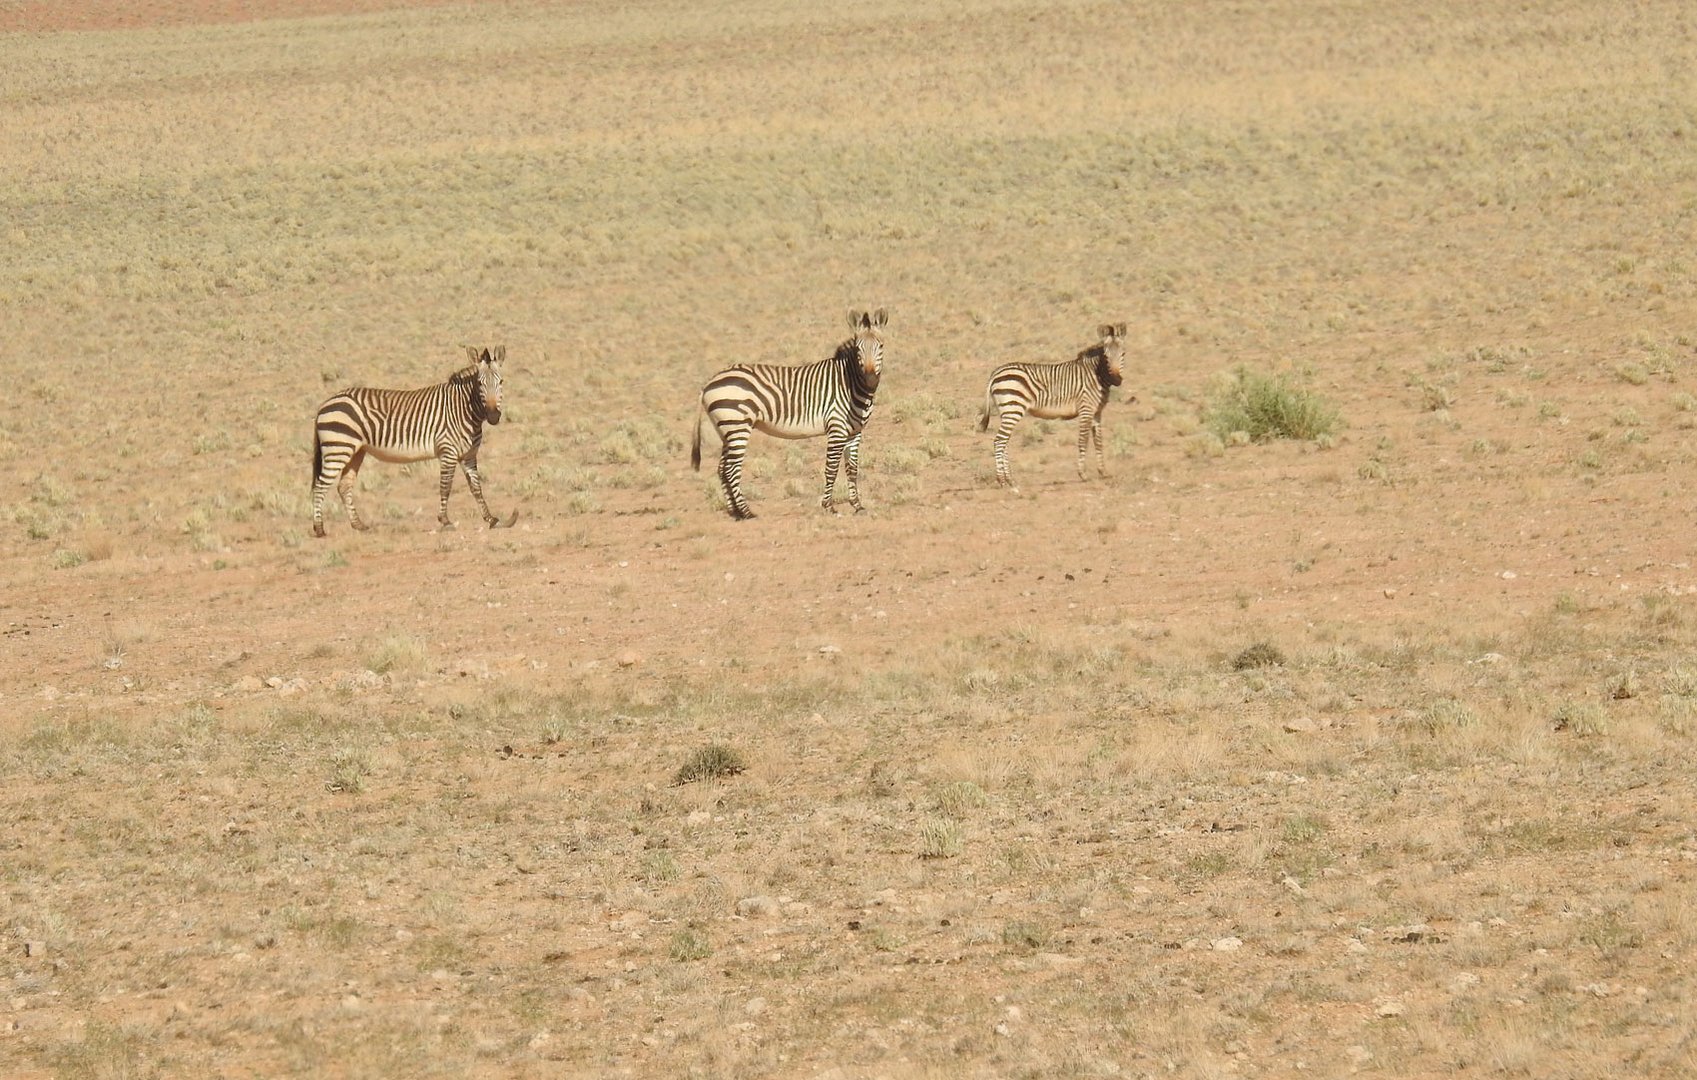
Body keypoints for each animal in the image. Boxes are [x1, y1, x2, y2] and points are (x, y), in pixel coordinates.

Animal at [308, 348, 512, 536]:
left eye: (501, 382)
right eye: (479, 383)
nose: (493, 416)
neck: (463, 409)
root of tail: (325, 403)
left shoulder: (468, 455)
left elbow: (476, 488)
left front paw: (490, 518)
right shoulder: (448, 451)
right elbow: (445, 487)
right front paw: (445, 520)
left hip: (355, 452)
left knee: (344, 487)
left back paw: (358, 525)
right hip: (338, 449)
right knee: (320, 487)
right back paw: (319, 529)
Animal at [688, 310, 889, 519]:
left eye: (881, 346)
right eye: (858, 349)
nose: (869, 377)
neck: (849, 382)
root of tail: (709, 382)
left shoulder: (854, 432)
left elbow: (852, 469)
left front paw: (857, 505)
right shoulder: (837, 428)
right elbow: (831, 468)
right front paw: (829, 506)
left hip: (727, 429)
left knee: (722, 468)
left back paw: (735, 512)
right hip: (737, 426)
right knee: (730, 469)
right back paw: (746, 512)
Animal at [984, 320, 1126, 489]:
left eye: (1123, 354)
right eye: (1106, 356)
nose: (1117, 380)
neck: (1095, 374)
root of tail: (996, 372)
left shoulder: (1097, 411)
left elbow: (1098, 441)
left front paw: (1103, 472)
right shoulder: (1086, 409)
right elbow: (1083, 440)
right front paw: (1083, 474)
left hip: (1006, 411)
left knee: (1004, 442)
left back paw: (1010, 480)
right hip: (1013, 409)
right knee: (999, 441)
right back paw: (1002, 480)